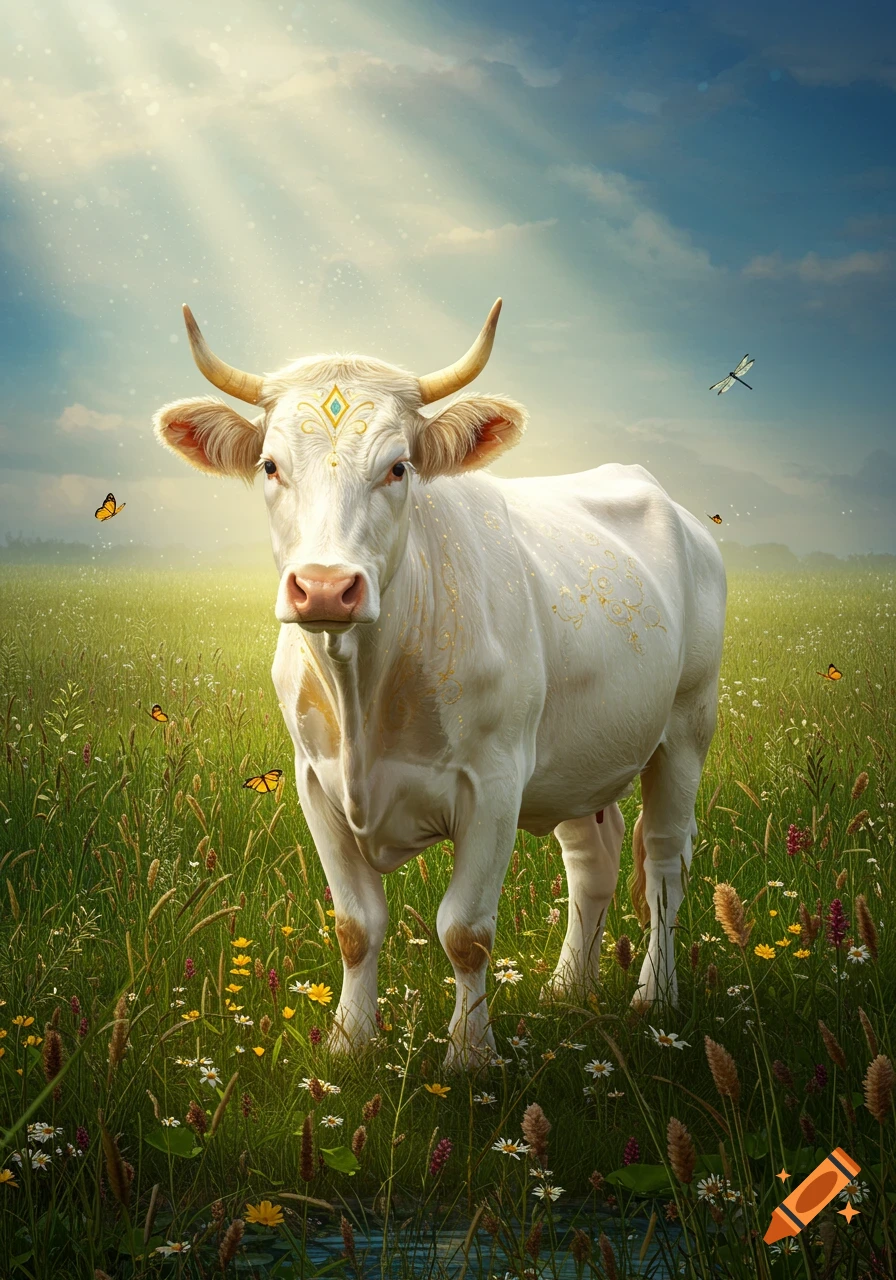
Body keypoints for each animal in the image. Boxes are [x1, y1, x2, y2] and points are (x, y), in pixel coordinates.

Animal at [153, 298, 727, 1071]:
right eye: (270, 465)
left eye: (398, 467)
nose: (325, 587)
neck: (365, 690)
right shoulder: (314, 782)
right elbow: (355, 925)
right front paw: (347, 1042)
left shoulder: (494, 783)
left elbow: (466, 932)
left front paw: (469, 1057)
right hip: (579, 756)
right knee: (593, 862)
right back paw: (568, 988)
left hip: (686, 728)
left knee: (665, 863)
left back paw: (654, 997)